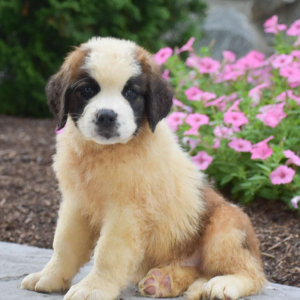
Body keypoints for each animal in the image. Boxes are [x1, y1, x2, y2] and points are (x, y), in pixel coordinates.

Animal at [20, 37, 264, 300]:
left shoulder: (126, 212)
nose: (106, 116)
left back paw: (221, 284)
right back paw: (167, 281)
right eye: (87, 90)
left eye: (130, 93)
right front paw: (50, 276)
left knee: (252, 274)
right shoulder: (76, 204)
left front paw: (93, 288)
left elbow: (108, 252)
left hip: (224, 227)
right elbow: (64, 243)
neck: (104, 152)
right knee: (199, 271)